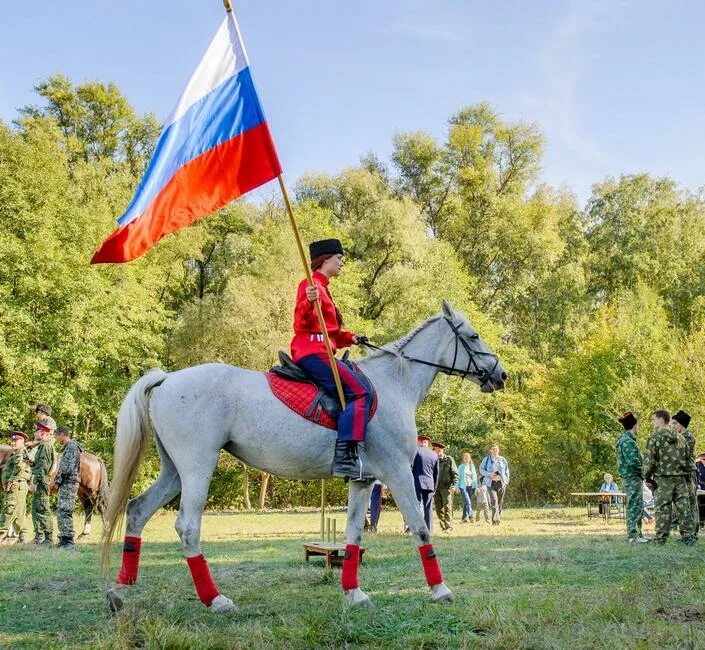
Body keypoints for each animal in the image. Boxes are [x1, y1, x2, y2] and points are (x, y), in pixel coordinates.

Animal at [102, 302, 506, 612]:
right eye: (473, 336)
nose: (500, 375)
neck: (395, 383)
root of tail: (168, 379)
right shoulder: (397, 473)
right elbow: (421, 528)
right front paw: (441, 590)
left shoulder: (363, 480)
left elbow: (353, 534)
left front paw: (354, 594)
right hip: (197, 466)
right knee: (187, 527)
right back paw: (215, 600)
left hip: (174, 470)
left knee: (137, 510)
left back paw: (120, 592)